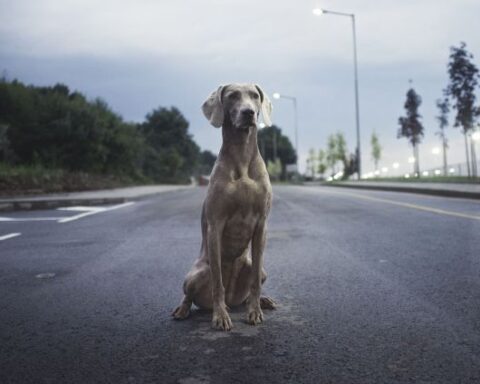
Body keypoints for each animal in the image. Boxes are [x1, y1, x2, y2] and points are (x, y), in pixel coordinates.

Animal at [172, 83, 278, 330]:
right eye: (232, 96)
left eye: (255, 96)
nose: (249, 113)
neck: (242, 157)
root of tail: (233, 299)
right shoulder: (215, 225)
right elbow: (217, 281)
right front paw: (220, 316)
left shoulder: (262, 225)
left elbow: (255, 282)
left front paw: (255, 311)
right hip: (195, 274)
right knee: (189, 294)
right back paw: (183, 310)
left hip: (259, 270)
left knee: (253, 282)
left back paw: (261, 301)